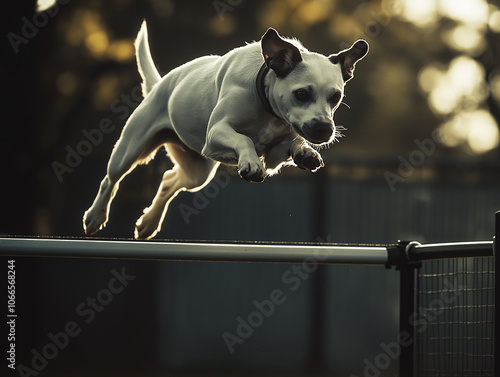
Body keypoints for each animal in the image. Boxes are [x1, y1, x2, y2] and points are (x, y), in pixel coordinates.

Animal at [83, 22, 368, 238]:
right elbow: (244, 140)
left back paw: (148, 223)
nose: (324, 129)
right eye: (301, 94)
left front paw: (305, 152)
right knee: (111, 180)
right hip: (132, 149)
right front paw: (250, 163)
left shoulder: (274, 155)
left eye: (336, 97)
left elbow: (291, 143)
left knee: (168, 180)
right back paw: (95, 216)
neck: (266, 103)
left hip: (198, 171)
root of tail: (160, 84)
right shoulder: (216, 133)